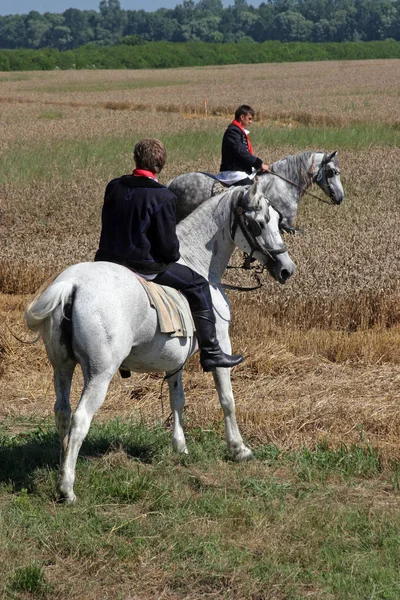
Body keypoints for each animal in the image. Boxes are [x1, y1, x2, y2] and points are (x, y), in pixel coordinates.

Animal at [24, 178, 294, 502]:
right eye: (258, 223)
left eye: (277, 219)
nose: (287, 269)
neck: (196, 259)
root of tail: (72, 284)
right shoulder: (221, 342)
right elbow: (227, 398)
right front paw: (239, 449)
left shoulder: (174, 360)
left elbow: (178, 399)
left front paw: (180, 447)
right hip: (100, 373)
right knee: (79, 419)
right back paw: (67, 488)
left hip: (62, 367)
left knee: (62, 413)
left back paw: (61, 466)